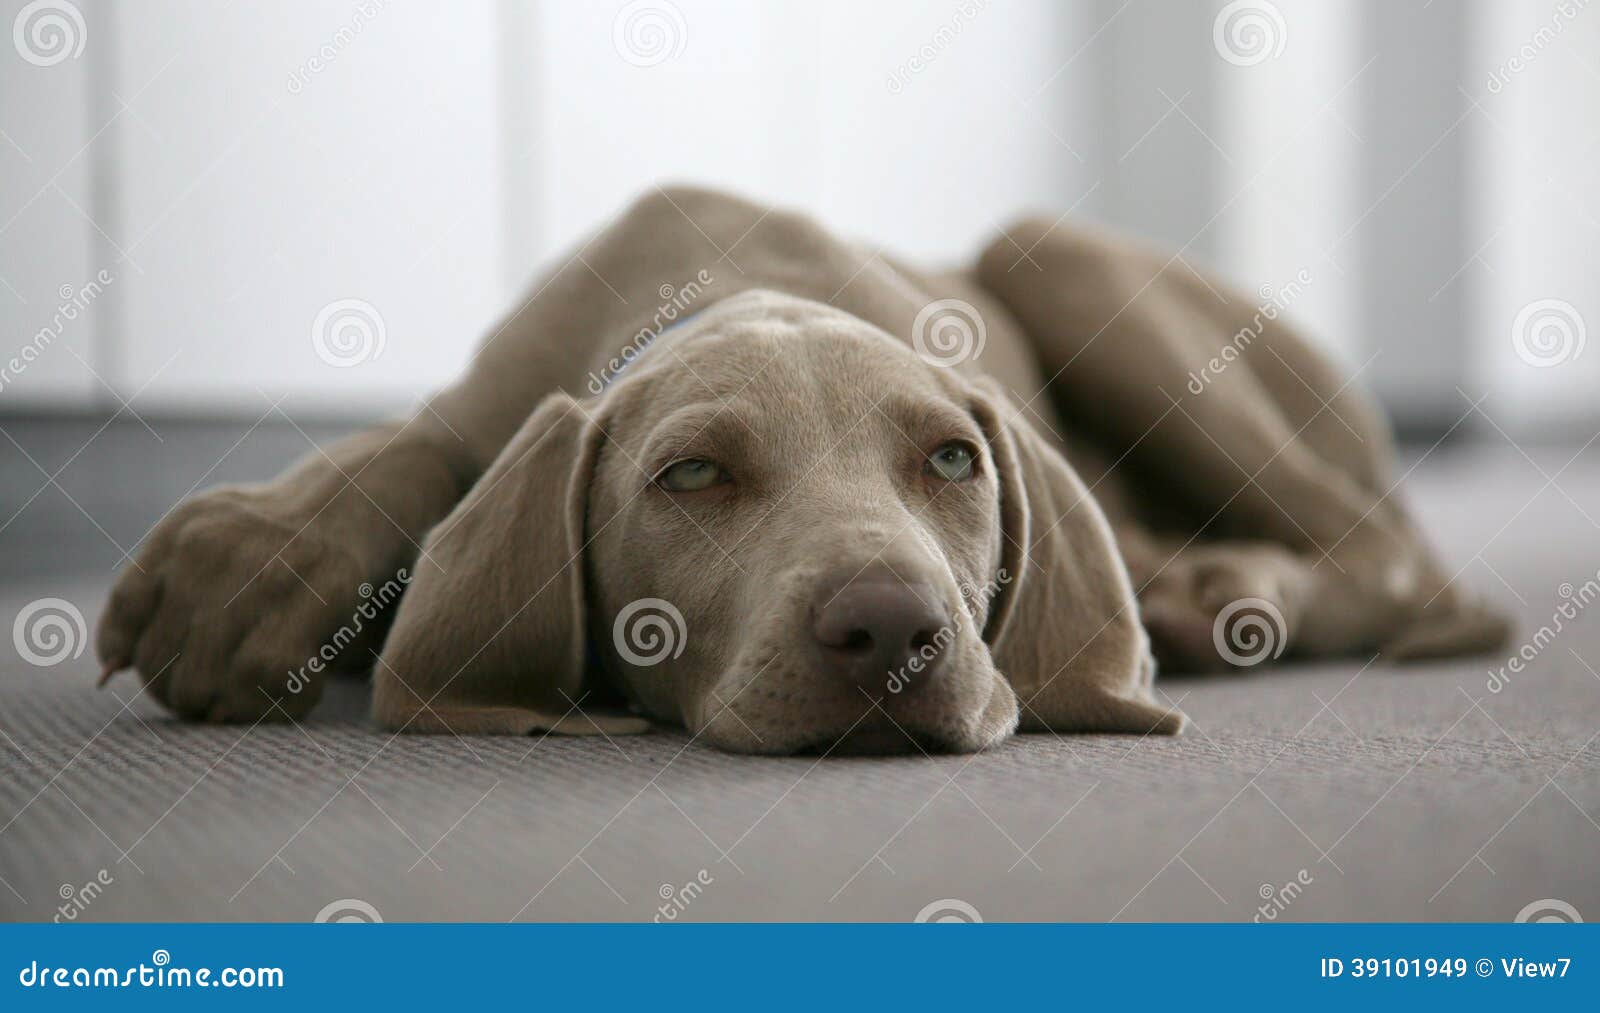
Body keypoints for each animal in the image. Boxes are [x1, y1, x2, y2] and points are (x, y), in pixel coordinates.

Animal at [93, 184, 1504, 752]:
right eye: (690, 477)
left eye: (952, 460)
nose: (891, 632)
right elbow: (419, 440)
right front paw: (258, 559)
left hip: (1054, 254)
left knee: (1417, 576)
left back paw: (1225, 598)